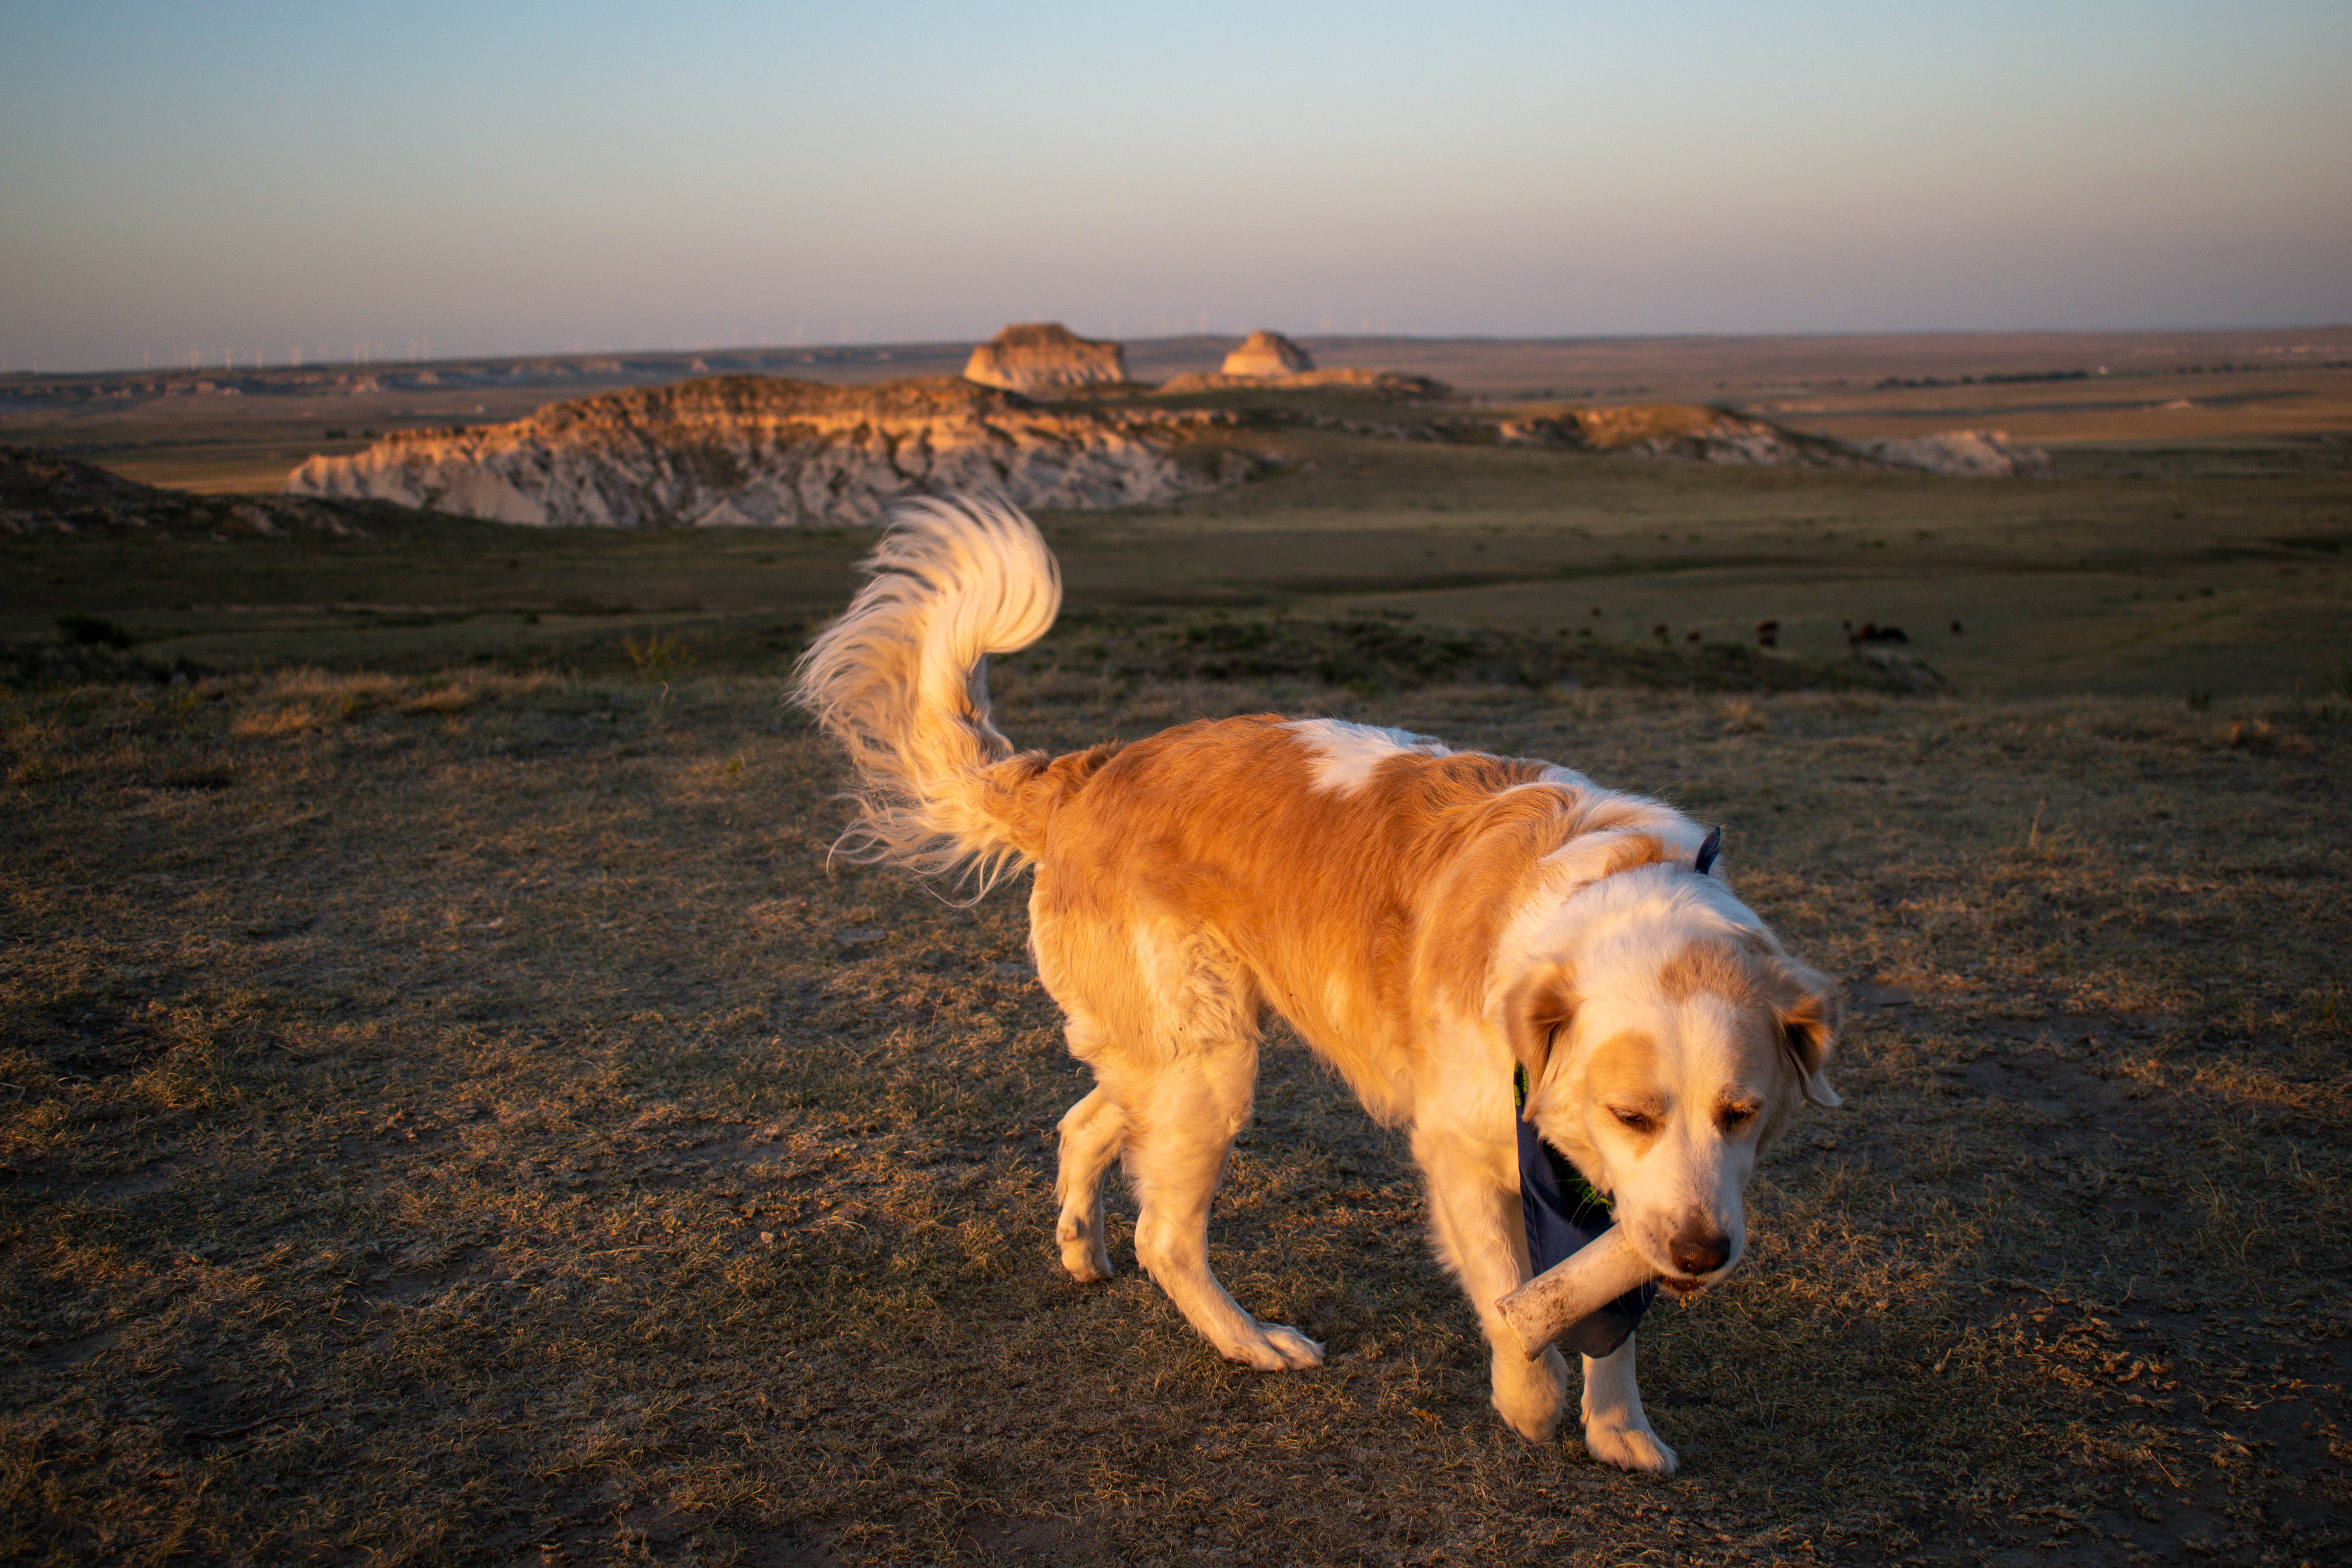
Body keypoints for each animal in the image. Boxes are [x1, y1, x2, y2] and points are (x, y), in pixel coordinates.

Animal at [799, 501, 1844, 1476]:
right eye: (1633, 1115)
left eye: (1742, 1114)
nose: (1702, 1256)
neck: (1611, 898)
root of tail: (1092, 773)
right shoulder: (1465, 1149)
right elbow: (1515, 1294)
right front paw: (1530, 1396)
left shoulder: (1622, 1188)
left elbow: (1604, 1298)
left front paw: (1619, 1426)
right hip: (1209, 1065)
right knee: (1165, 1233)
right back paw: (1249, 1341)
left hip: (1171, 1051)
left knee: (1086, 1121)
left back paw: (1079, 1245)